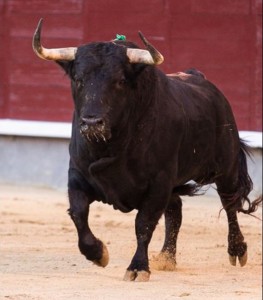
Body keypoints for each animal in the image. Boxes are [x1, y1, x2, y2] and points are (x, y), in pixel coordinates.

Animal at [32, 20, 260, 282]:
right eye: (78, 79)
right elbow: (78, 214)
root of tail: (201, 79)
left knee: (230, 203)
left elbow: (144, 224)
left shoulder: (158, 182)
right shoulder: (78, 175)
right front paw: (98, 254)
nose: (91, 123)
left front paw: (138, 267)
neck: (112, 142)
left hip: (225, 167)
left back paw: (237, 250)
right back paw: (166, 258)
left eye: (120, 81)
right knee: (176, 210)